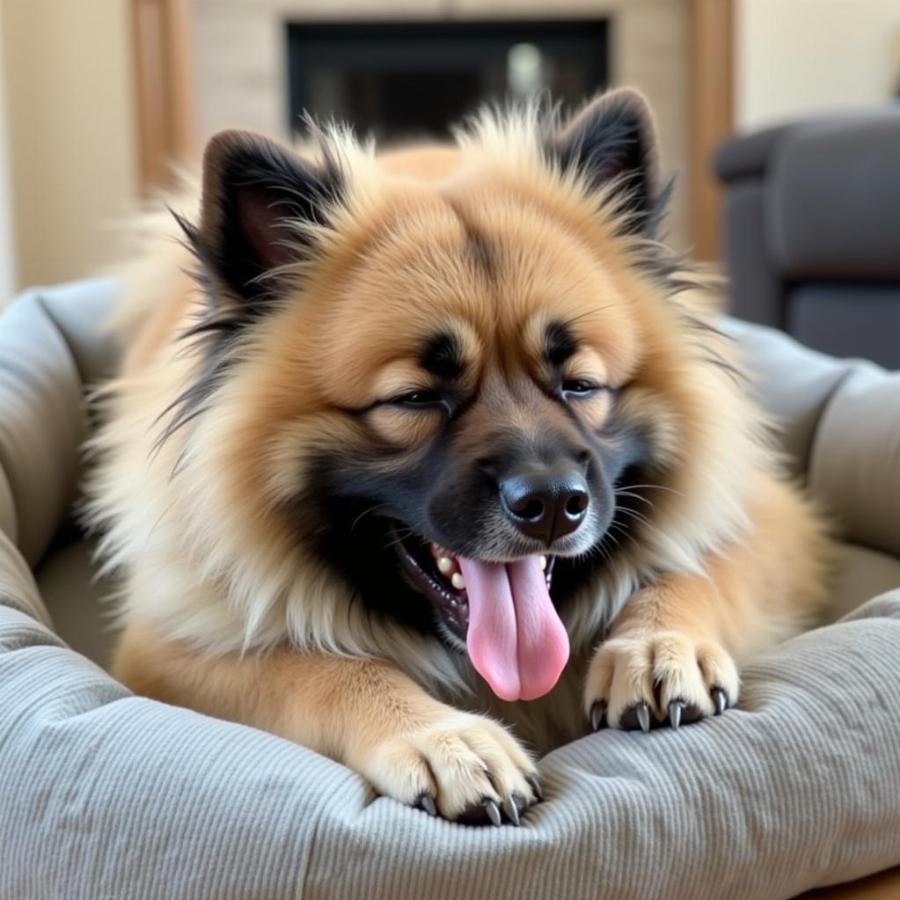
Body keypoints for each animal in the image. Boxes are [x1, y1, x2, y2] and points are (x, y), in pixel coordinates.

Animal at [88, 89, 832, 824]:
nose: (553, 504)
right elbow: (322, 668)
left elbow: (698, 568)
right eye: (415, 398)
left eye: (580, 385)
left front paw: (657, 646)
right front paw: (441, 738)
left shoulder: (773, 519)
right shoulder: (165, 650)